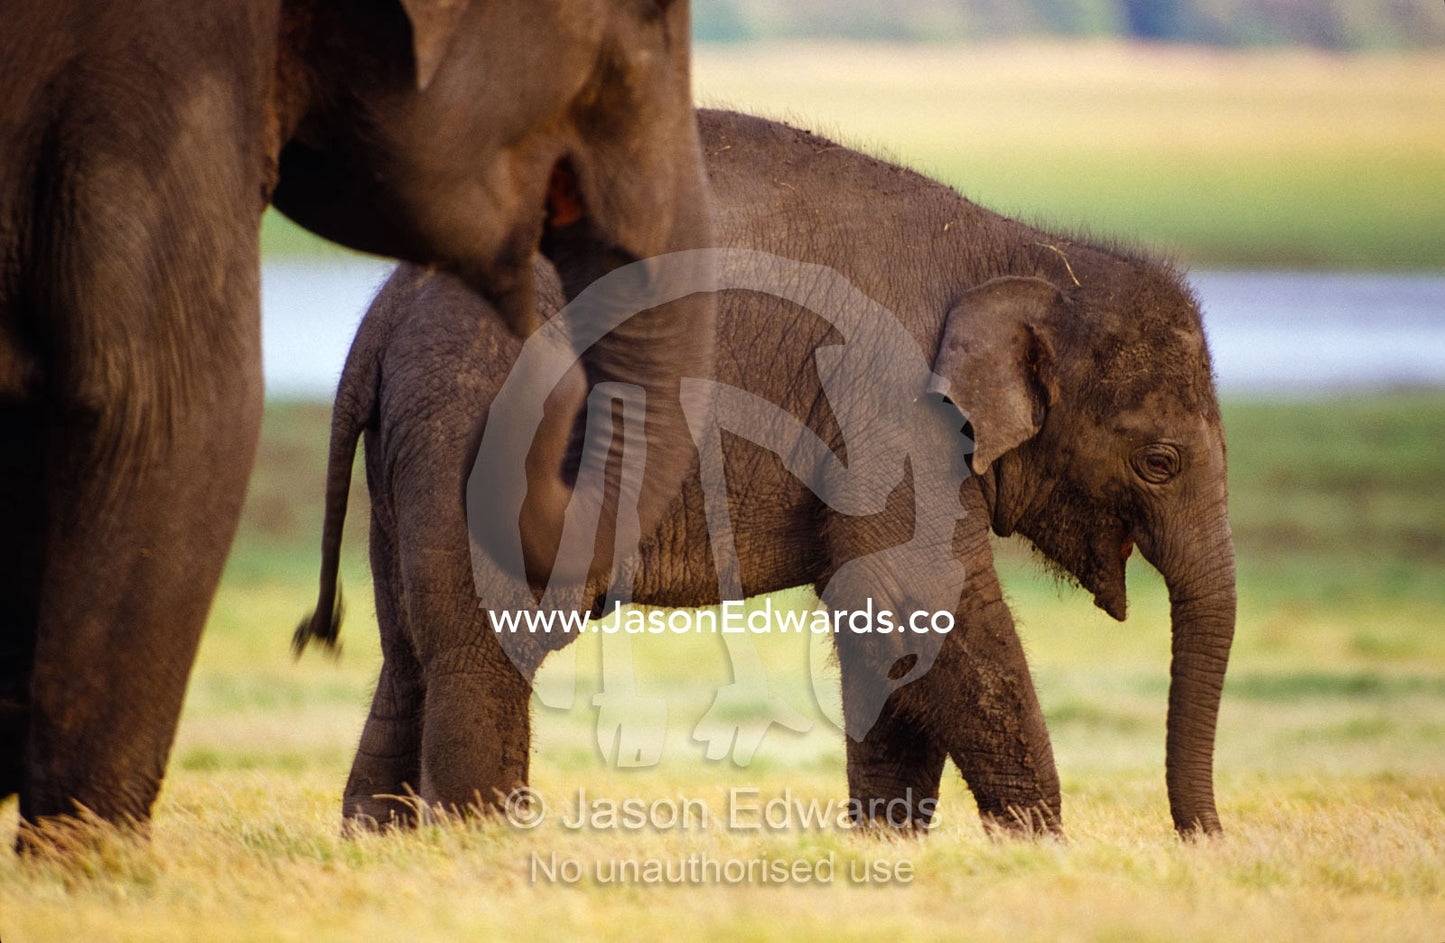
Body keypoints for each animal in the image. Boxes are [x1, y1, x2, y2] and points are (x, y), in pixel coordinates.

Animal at [298, 109, 1236, 837]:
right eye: (1158, 462)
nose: (1206, 841)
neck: (1027, 250)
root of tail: (378, 320)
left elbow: (885, 624)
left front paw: (887, 844)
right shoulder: (888, 410)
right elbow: (913, 596)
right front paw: (1038, 847)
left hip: (416, 450)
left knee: (407, 651)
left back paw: (379, 840)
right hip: (476, 427)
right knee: (487, 641)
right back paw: (478, 842)